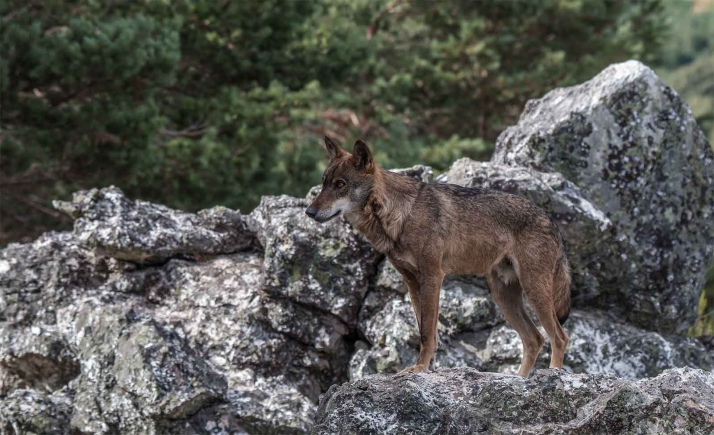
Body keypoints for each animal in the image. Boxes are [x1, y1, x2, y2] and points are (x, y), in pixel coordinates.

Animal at [306, 137, 571, 377]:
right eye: (324, 183)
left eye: (340, 184)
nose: (309, 212)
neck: (402, 215)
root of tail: (552, 223)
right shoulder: (413, 283)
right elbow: (425, 330)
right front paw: (427, 368)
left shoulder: (433, 277)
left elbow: (426, 333)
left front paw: (419, 368)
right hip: (503, 297)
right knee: (535, 339)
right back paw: (519, 380)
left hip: (533, 291)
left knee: (559, 337)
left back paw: (554, 375)